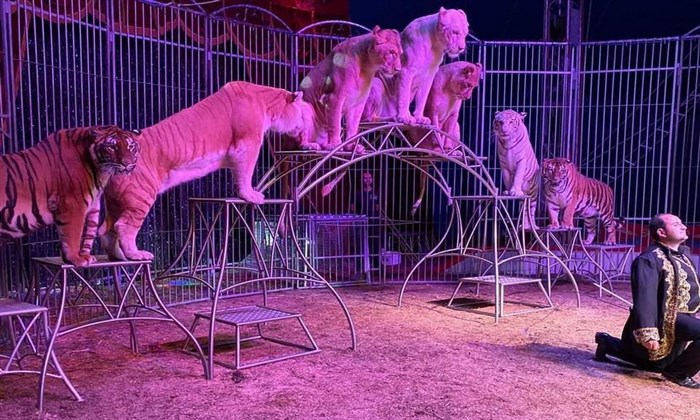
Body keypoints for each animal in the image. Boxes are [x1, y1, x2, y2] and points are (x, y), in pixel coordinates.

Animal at [0, 126, 141, 266]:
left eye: (130, 146)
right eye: (112, 147)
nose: (127, 163)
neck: (100, 171)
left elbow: (79, 232)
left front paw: (79, 256)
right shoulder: (73, 203)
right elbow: (74, 234)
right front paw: (76, 258)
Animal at [100, 81, 315, 261]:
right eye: (304, 112)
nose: (309, 124)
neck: (267, 102)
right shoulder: (247, 144)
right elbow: (245, 173)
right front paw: (251, 195)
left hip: (115, 203)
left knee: (106, 230)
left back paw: (118, 256)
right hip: (140, 197)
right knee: (123, 227)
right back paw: (136, 255)